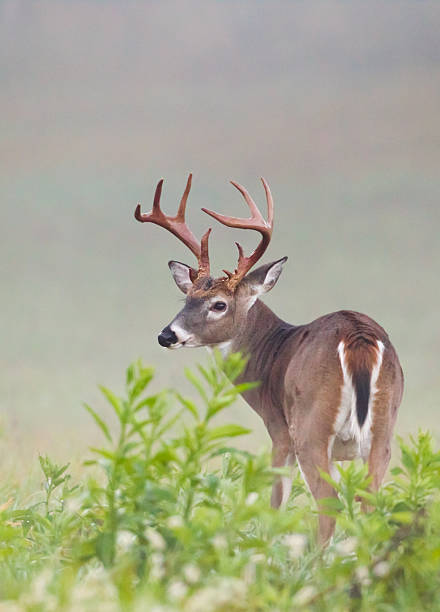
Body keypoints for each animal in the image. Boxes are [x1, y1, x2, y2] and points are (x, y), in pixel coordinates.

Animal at [134, 175, 402, 544]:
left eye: (219, 304)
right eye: (186, 298)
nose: (167, 335)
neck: (271, 352)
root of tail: (357, 340)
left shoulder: (278, 429)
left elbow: (275, 502)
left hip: (310, 426)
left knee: (328, 502)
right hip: (383, 429)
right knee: (370, 500)